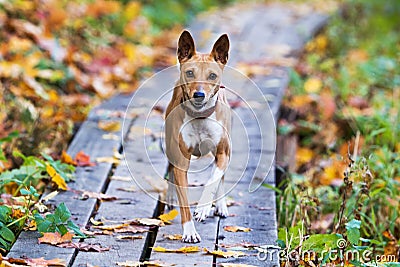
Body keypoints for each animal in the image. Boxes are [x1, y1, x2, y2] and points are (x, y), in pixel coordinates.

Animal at [163, 30, 231, 244]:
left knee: (220, 176)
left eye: (212, 75)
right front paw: (190, 231)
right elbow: (184, 200)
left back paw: (221, 206)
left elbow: (213, 180)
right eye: (190, 73)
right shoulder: (181, 161)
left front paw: (203, 207)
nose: (199, 94)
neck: (200, 117)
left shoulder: (223, 153)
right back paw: (170, 197)